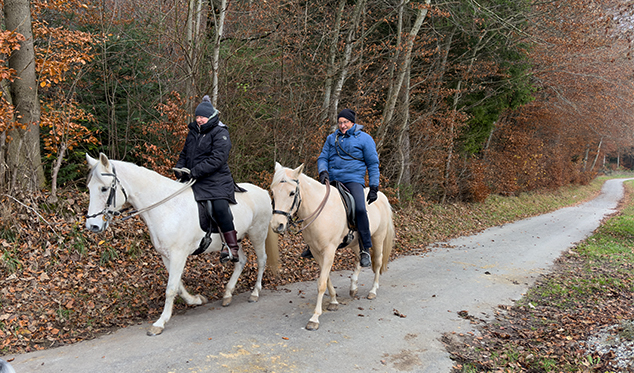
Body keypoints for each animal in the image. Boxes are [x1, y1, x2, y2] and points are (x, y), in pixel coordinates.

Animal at [85, 153, 278, 336]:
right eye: (89, 188)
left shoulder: (178, 254)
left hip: (257, 234)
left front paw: (160, 323)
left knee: (261, 260)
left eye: (104, 188)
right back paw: (228, 294)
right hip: (237, 240)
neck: (167, 208)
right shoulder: (166, 255)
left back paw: (255, 293)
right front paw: (196, 300)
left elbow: (170, 288)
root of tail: (263, 191)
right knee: (241, 260)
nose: (92, 226)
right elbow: (177, 285)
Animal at [270, 162, 392, 328]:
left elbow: (321, 282)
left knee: (378, 262)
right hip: (355, 243)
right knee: (360, 259)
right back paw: (353, 287)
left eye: (291, 193)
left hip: (378, 237)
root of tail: (382, 197)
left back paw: (373, 291)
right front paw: (333, 301)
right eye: (273, 192)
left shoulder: (329, 251)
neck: (320, 211)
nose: (277, 225)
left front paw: (314, 318)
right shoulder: (316, 252)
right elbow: (326, 278)